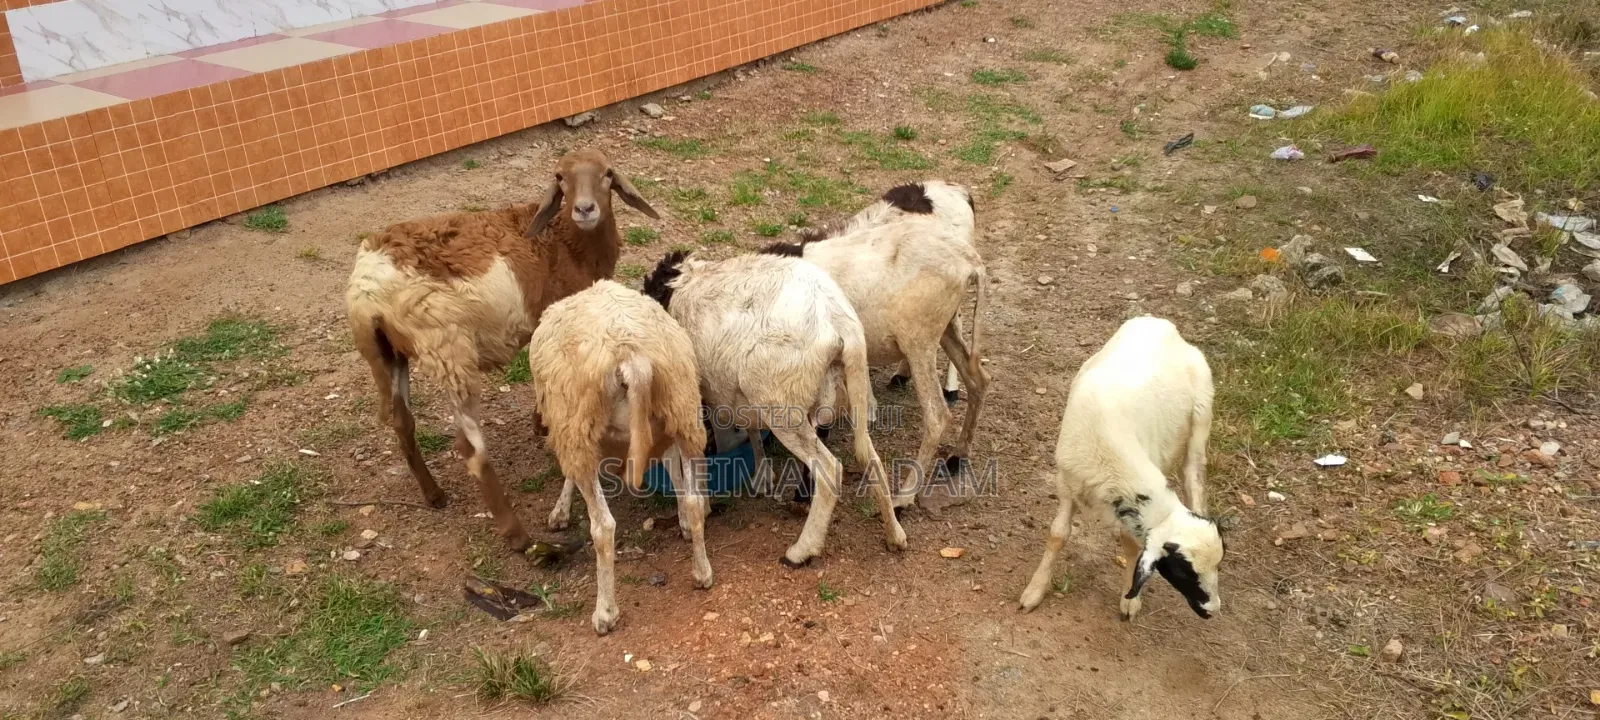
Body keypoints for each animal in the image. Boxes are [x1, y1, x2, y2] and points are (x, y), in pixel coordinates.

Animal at [345, 149, 660, 552]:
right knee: (470, 447)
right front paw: (541, 421)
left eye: (607, 174)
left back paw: (434, 495)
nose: (585, 209)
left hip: (388, 352)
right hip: (448, 348)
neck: (565, 241)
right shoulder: (553, 315)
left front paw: (539, 423)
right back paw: (518, 536)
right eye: (560, 178)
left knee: (402, 421)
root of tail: (367, 288)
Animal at [527, 279, 711, 634]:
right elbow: (676, 474)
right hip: (683, 409)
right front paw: (681, 518)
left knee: (603, 527)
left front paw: (560, 511)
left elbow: (570, 475)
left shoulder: (567, 426)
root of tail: (631, 356)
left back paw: (605, 613)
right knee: (696, 500)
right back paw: (702, 572)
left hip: (579, 423)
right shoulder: (660, 429)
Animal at [637, 249, 908, 566]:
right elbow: (750, 431)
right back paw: (895, 535)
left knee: (830, 471)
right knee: (869, 455)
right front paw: (761, 475)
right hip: (848, 386)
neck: (681, 280)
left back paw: (802, 550)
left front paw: (692, 518)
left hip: (781, 405)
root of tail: (837, 321)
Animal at [763, 181, 989, 506]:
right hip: (942, 328)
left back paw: (904, 497)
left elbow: (820, 414)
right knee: (979, 380)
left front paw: (806, 487)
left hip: (920, 339)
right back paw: (957, 456)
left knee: (937, 416)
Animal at [1017, 316, 1223, 620]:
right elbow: (1058, 535)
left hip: (1200, 419)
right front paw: (1034, 590)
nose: (1213, 610)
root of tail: (1162, 323)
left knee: (1193, 476)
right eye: (1185, 572)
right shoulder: (1066, 482)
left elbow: (1131, 545)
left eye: (1218, 565)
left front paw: (1130, 600)